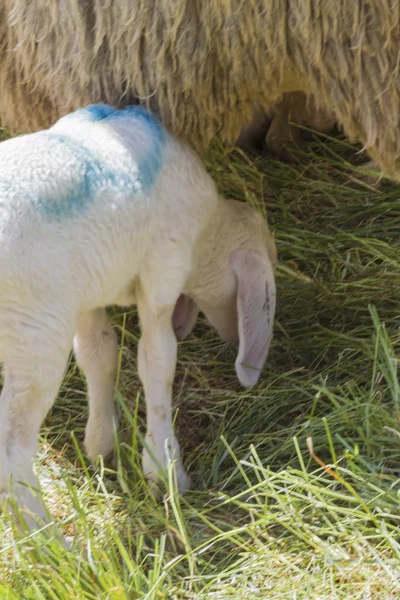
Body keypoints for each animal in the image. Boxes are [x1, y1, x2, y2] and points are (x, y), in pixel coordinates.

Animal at [0, 105, 276, 524]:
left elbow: (98, 353)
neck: (206, 233)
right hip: (35, 336)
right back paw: (43, 533)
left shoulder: (86, 294)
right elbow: (157, 361)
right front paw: (166, 471)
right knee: (12, 448)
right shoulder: (164, 269)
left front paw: (101, 445)